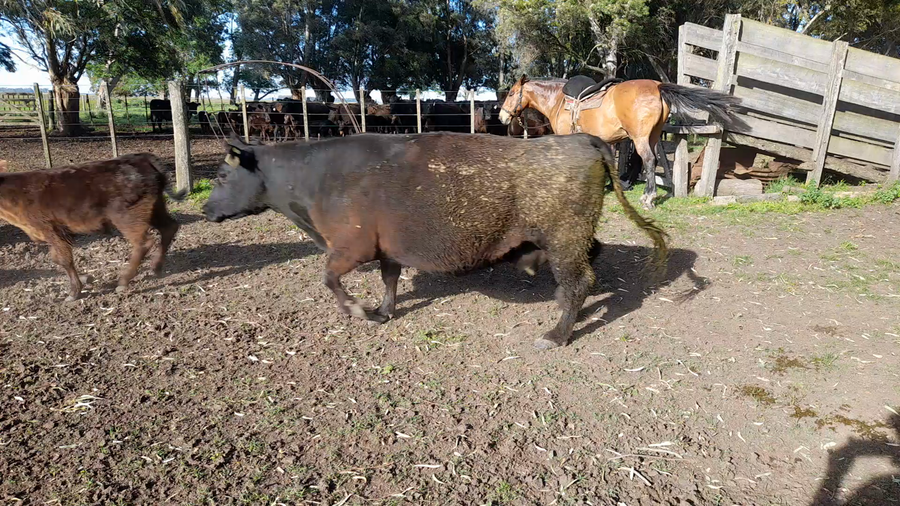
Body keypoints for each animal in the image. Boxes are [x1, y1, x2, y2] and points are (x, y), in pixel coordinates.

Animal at [0, 153, 186, 301]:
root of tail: (142, 158)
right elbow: (57, 259)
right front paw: (85, 278)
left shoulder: (51, 229)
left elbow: (64, 259)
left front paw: (74, 292)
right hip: (155, 208)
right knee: (169, 227)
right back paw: (156, 267)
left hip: (127, 217)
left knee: (143, 242)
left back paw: (123, 282)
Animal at [201, 133, 668, 350]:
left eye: (222, 175)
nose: (205, 211)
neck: (315, 178)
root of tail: (579, 138)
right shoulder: (385, 249)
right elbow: (389, 280)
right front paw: (384, 311)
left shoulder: (350, 248)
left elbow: (330, 279)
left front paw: (358, 311)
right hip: (572, 238)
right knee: (590, 265)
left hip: (565, 238)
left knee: (580, 280)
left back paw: (556, 334)